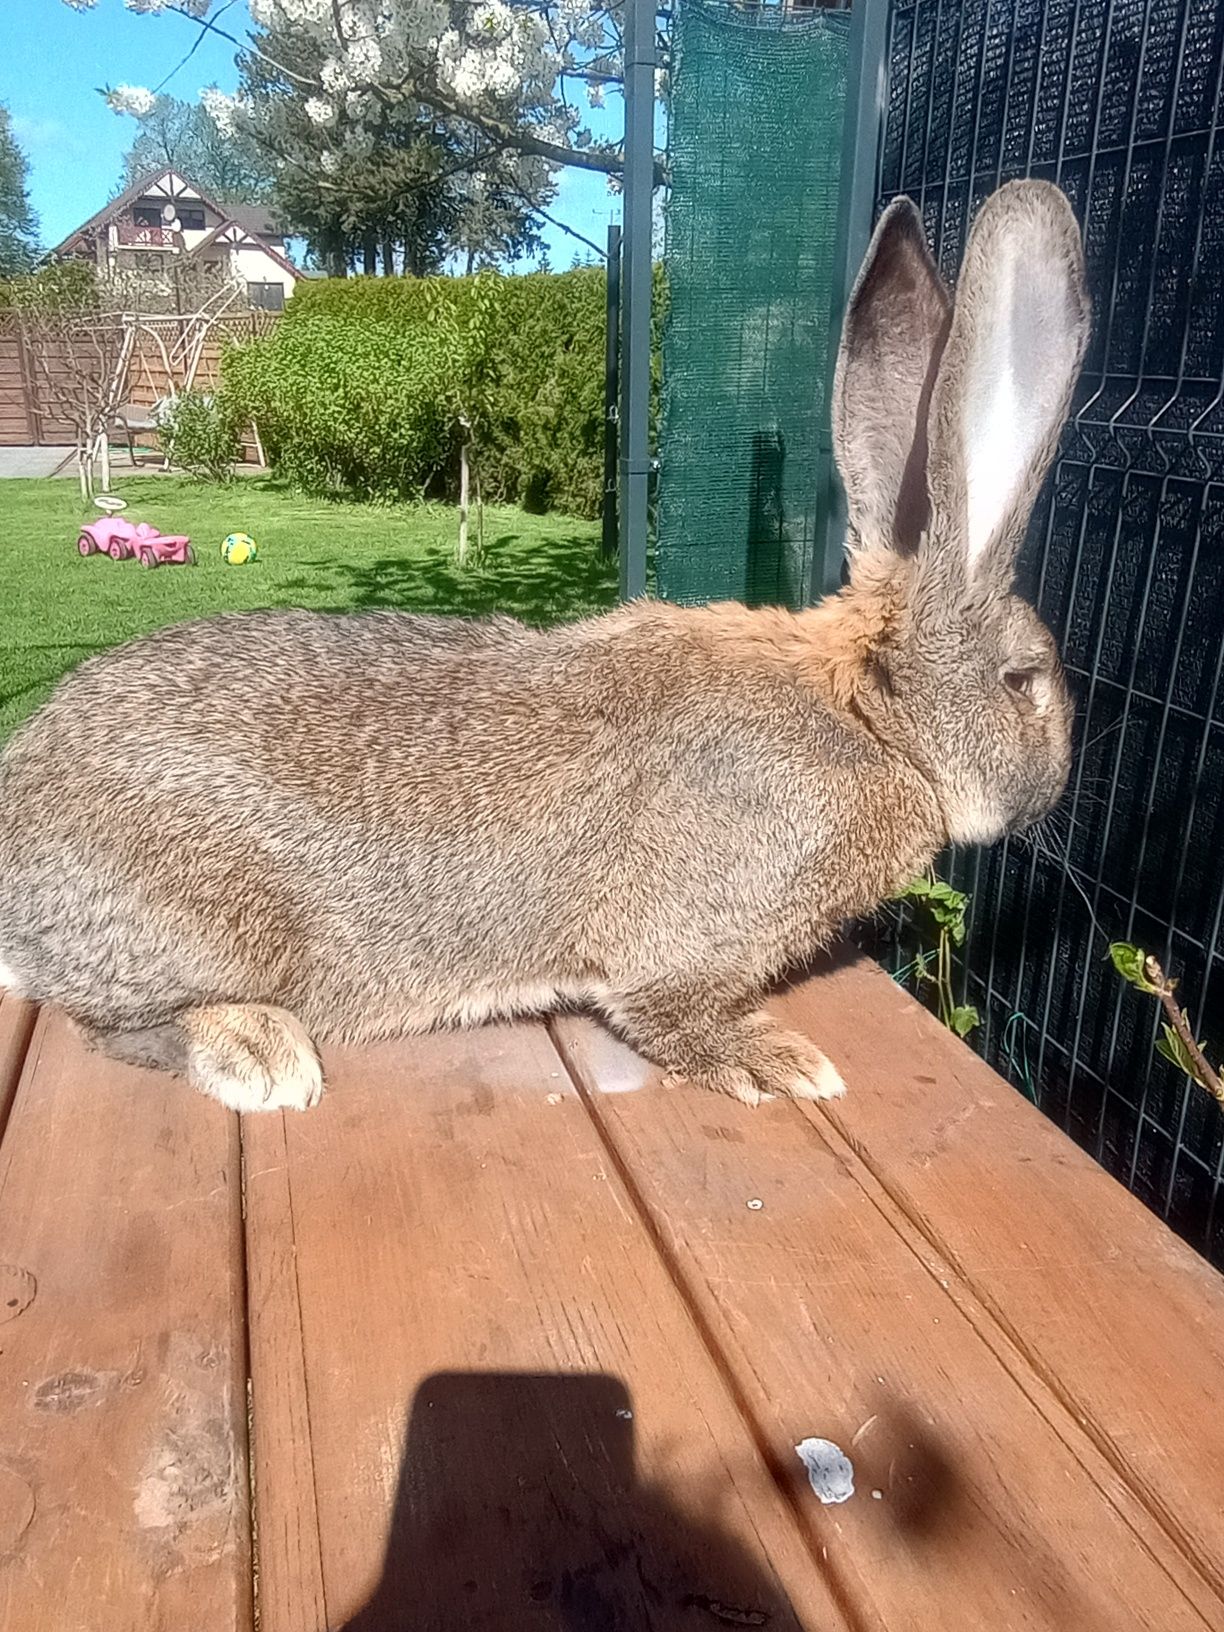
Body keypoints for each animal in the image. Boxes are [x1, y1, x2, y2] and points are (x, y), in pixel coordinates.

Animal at [0, 185, 1090, 1116]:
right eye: (1025, 682)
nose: (1053, 791)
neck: (867, 713)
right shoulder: (685, 945)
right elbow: (671, 1012)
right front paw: (775, 1061)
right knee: (114, 1023)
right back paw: (260, 1056)